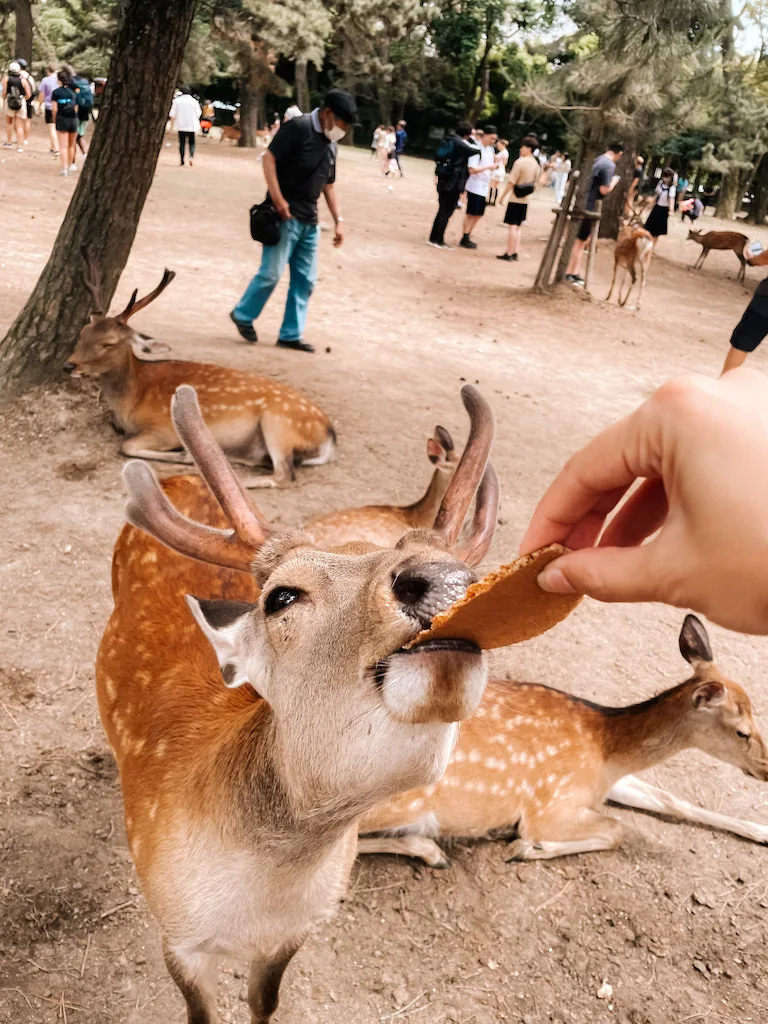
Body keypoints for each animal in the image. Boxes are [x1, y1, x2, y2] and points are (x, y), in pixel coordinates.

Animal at [62, 249, 333, 485]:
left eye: (108, 343)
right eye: (83, 332)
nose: (69, 365)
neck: (131, 399)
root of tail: (330, 436)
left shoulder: (164, 428)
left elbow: (127, 446)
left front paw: (182, 454)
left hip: (279, 423)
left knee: (284, 475)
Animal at [360, 614, 768, 864]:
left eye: (757, 716)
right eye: (742, 730)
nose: (765, 768)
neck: (605, 748)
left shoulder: (603, 782)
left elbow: (672, 801)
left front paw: (760, 831)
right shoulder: (552, 805)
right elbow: (616, 830)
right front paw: (528, 847)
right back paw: (431, 851)